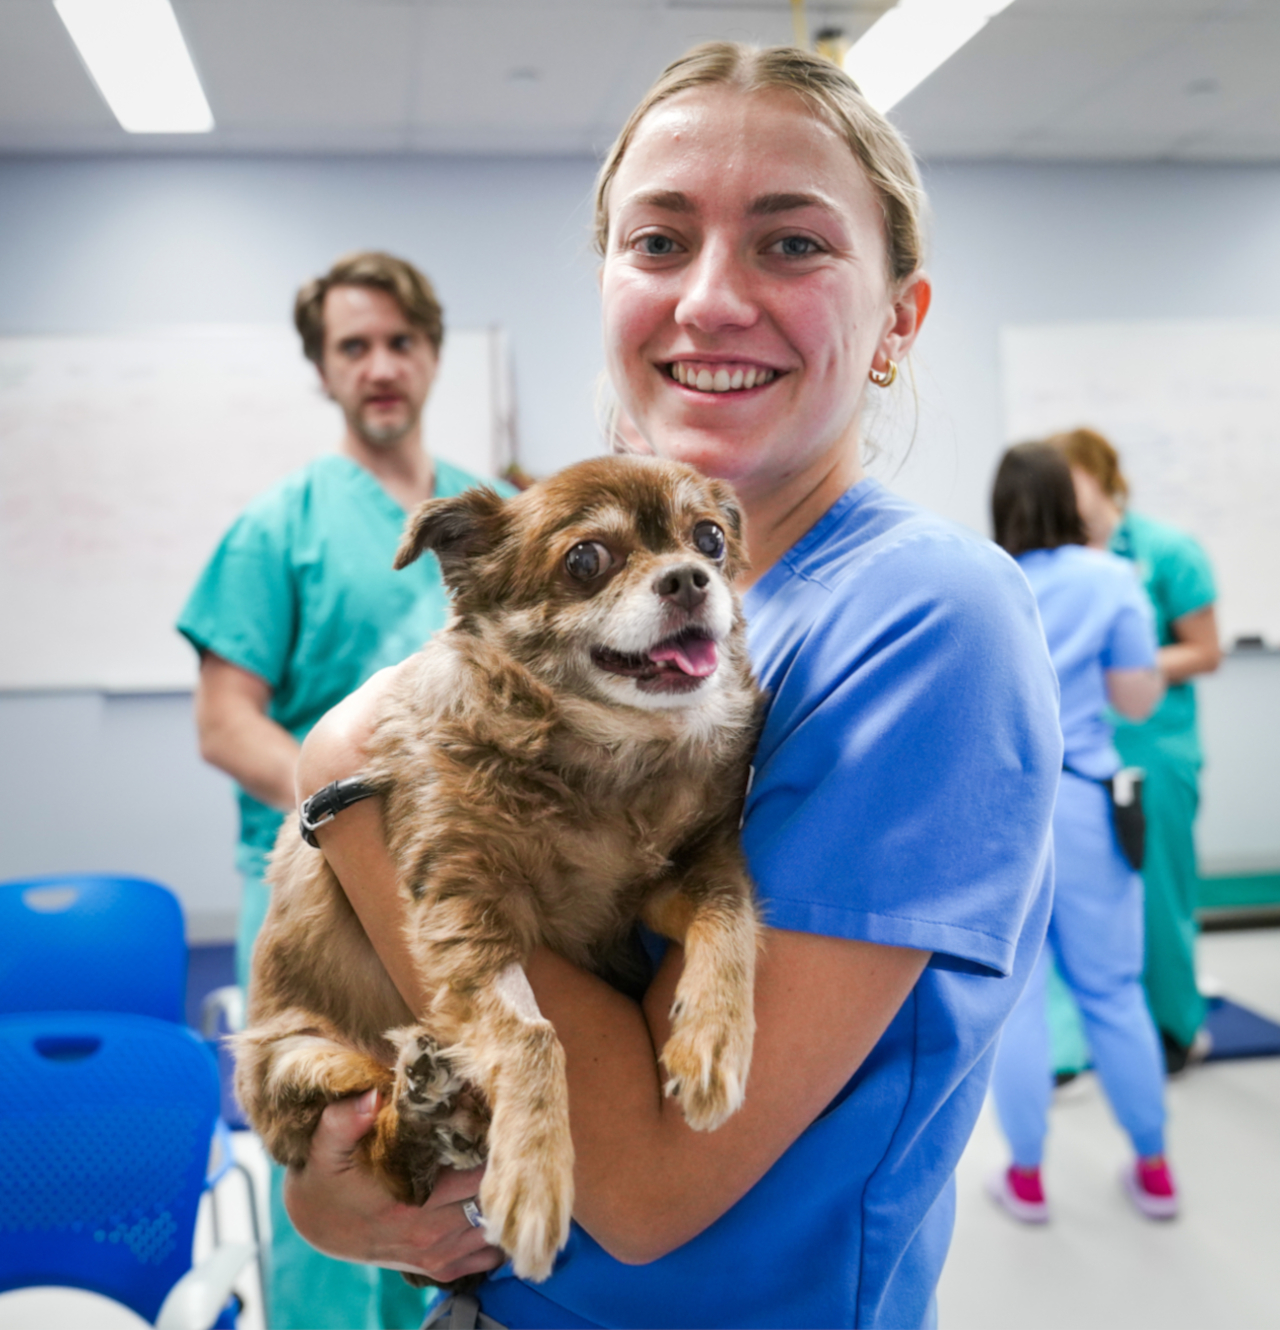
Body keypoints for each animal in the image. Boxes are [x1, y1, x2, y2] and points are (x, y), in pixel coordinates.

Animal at [235, 454, 761, 1276]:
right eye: (585, 560)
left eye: (709, 539)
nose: (688, 578)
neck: (602, 755)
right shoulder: (462, 912)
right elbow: (532, 1035)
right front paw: (536, 1172)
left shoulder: (672, 879)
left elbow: (730, 913)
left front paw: (713, 1038)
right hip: (302, 1064)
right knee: (389, 1160)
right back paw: (427, 1110)